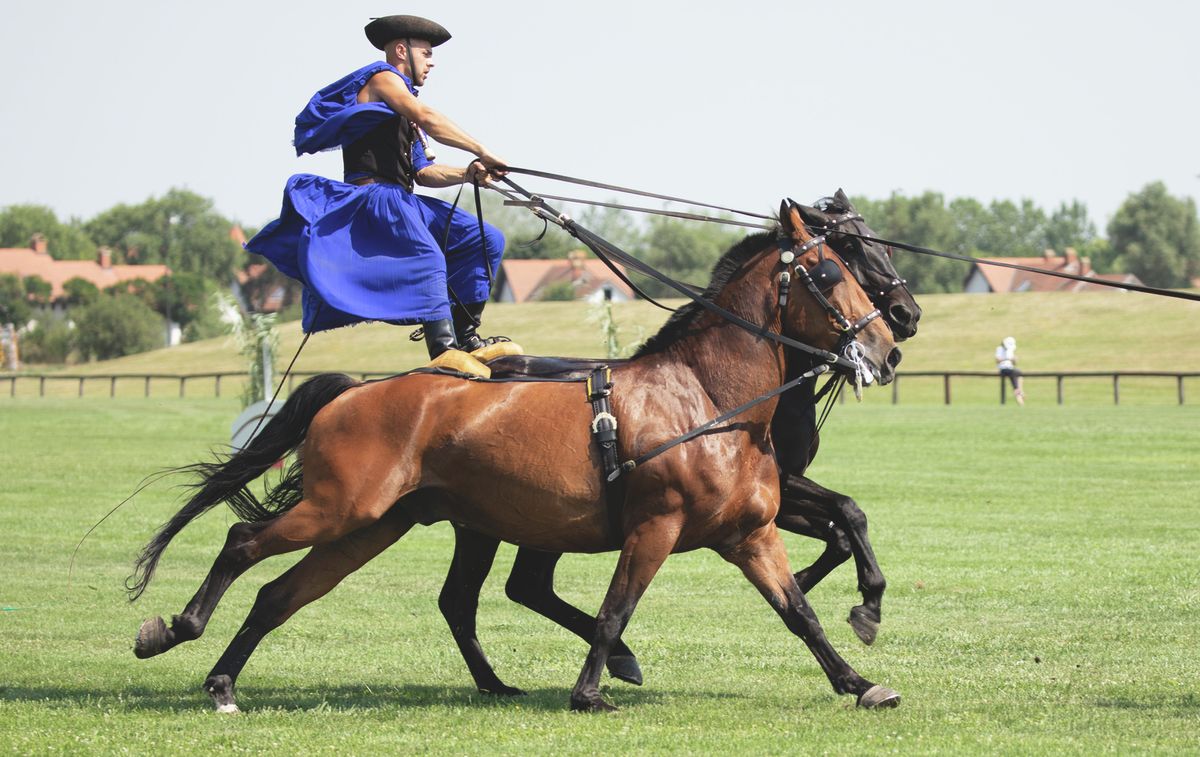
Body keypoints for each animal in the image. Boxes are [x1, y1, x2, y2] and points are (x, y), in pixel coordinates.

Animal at [129, 200, 902, 710]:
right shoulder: (654, 528)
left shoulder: (750, 534)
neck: (707, 401)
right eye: (831, 271)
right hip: (341, 510)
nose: (888, 344)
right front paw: (590, 690)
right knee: (242, 539)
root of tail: (357, 390)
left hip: (374, 526)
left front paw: (859, 681)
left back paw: (224, 681)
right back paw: (175, 630)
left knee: (281, 593)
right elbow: (616, 609)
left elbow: (799, 610)